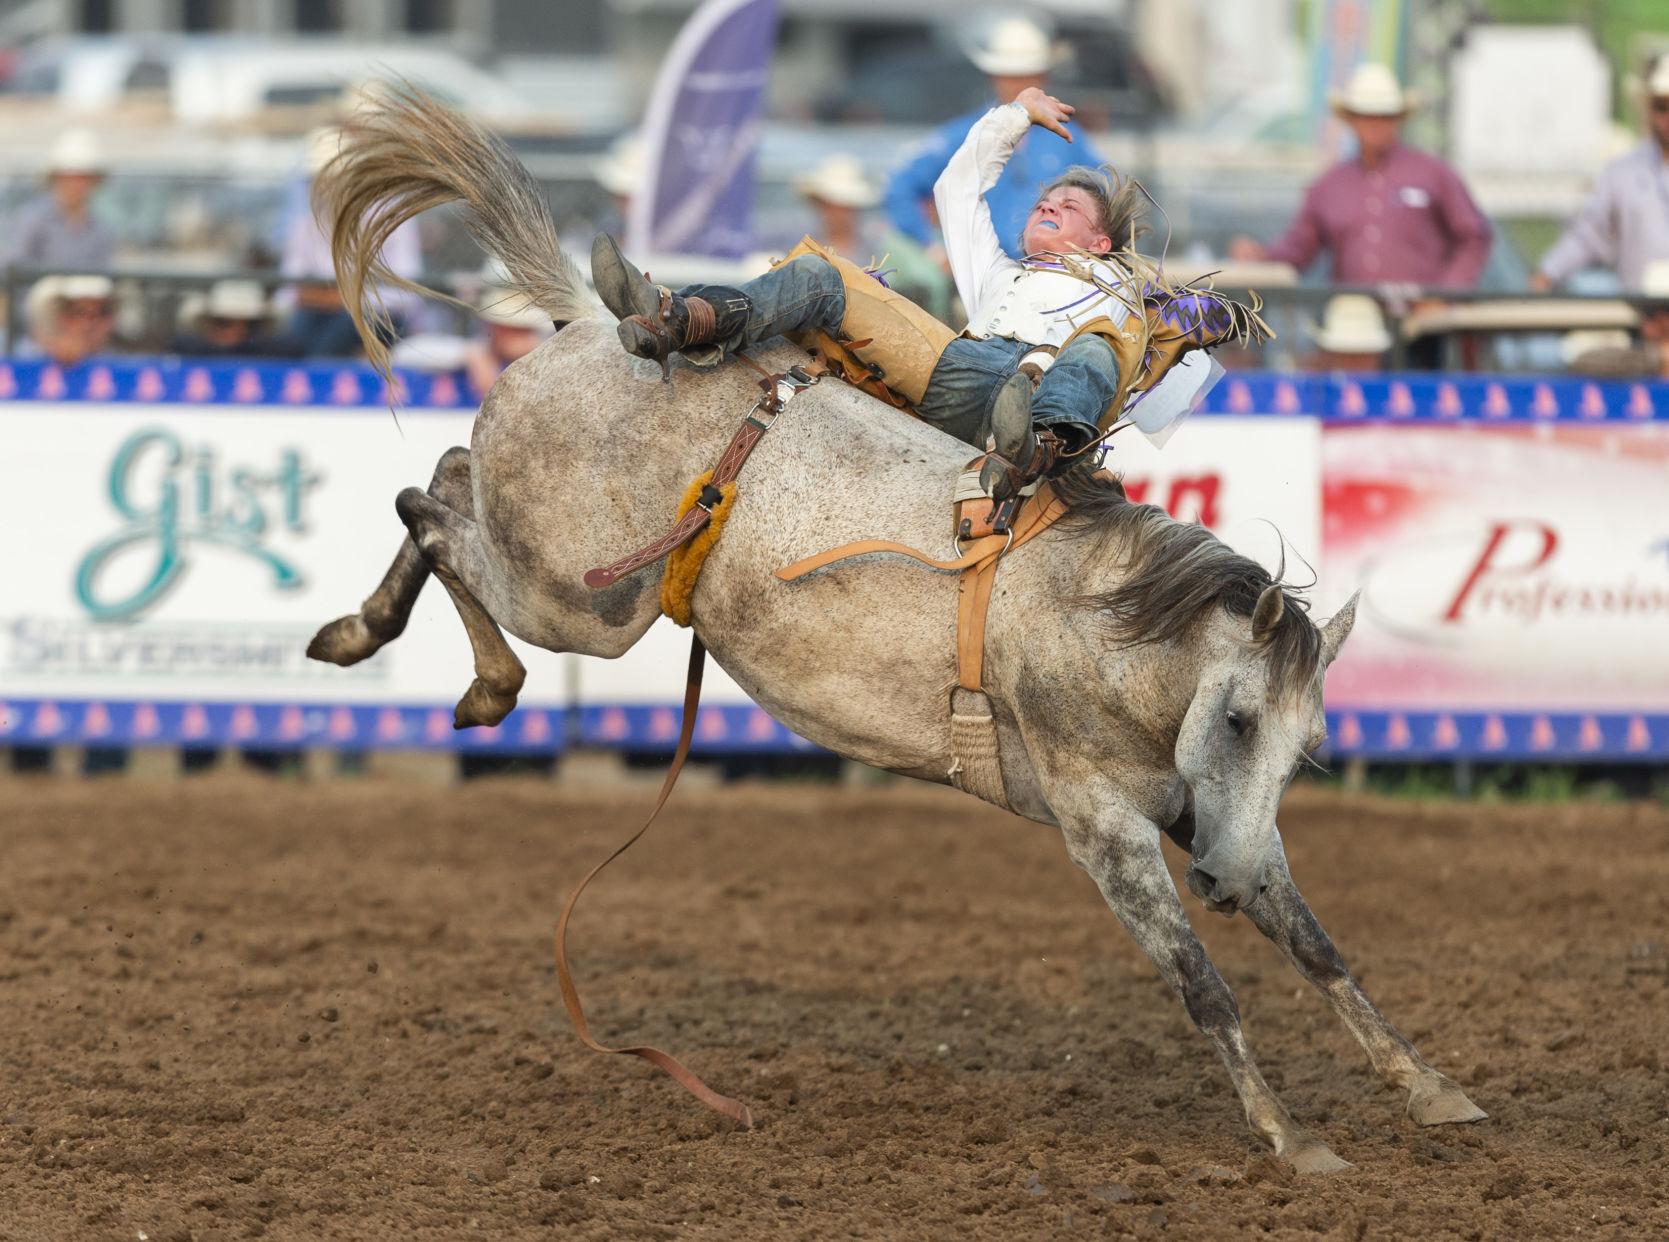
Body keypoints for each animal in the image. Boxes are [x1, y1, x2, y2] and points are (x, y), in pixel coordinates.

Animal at [303, 89, 1488, 1175]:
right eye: (1238, 716)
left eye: (1305, 748)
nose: (1225, 888)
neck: (1108, 630)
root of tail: (592, 327)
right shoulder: (1099, 823)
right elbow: (1200, 981)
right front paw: (1291, 1137)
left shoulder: (1217, 818)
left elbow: (1317, 945)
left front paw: (1429, 1089)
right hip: (578, 601)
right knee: (430, 507)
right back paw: (421, 650)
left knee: (446, 479)